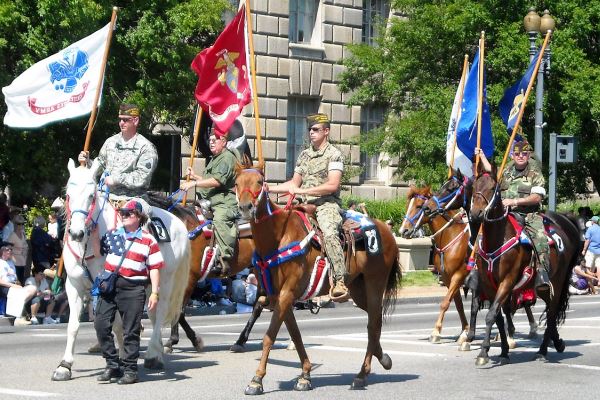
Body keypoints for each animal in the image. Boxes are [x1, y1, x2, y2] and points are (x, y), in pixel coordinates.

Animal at [53, 160, 191, 382]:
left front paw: (121, 360)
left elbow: (118, 324)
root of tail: (179, 223)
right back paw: (158, 351)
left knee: (160, 312)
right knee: (153, 314)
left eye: (91, 195)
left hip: (165, 281)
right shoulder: (74, 286)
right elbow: (74, 325)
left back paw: (152, 355)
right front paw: (64, 366)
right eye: (68, 195)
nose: (76, 233)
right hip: (149, 285)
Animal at [237, 166, 400, 394]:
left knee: (373, 324)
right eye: (236, 182)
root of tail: (387, 230)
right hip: (359, 291)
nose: (245, 207)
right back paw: (382, 358)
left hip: (375, 284)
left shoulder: (287, 293)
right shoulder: (278, 297)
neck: (278, 237)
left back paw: (362, 374)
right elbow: (295, 335)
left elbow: (270, 336)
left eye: (259, 182)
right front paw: (305, 375)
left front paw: (257, 379)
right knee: (373, 323)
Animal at [400, 184, 472, 344]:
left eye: (419, 206)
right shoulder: (447, 277)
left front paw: (436, 332)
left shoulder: (459, 275)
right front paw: (465, 331)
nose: (403, 230)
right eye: (408, 205)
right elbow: (458, 305)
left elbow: (445, 303)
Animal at [468, 163, 580, 366]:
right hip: (542, 288)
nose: (476, 214)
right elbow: (498, 317)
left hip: (558, 281)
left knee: (552, 313)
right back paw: (557, 342)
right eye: (474, 187)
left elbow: (491, 314)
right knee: (550, 311)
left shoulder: (507, 281)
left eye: (493, 189)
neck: (496, 239)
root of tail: (568, 222)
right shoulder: (488, 285)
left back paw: (543, 351)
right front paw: (503, 351)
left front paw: (483, 352)